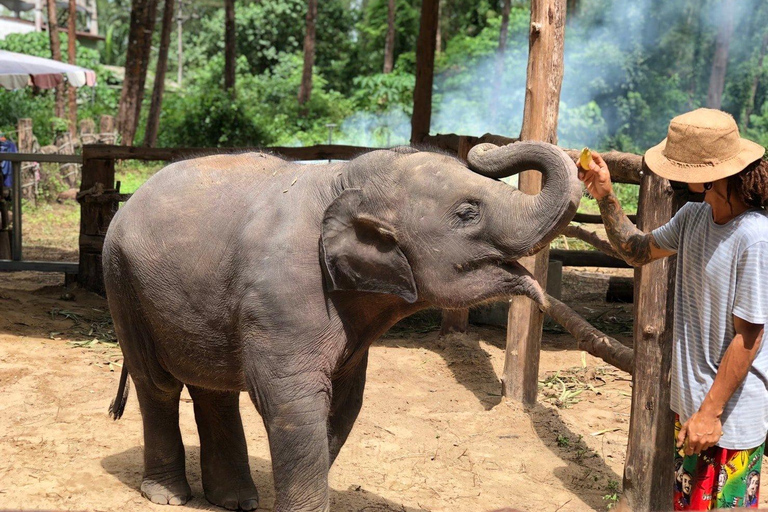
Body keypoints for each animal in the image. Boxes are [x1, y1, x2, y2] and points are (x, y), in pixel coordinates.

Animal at [105, 142, 580, 512]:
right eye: (467, 212)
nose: (484, 148)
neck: (344, 179)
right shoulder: (281, 295)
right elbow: (293, 402)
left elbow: (347, 402)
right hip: (122, 282)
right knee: (158, 384)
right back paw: (168, 496)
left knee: (213, 388)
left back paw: (235, 500)